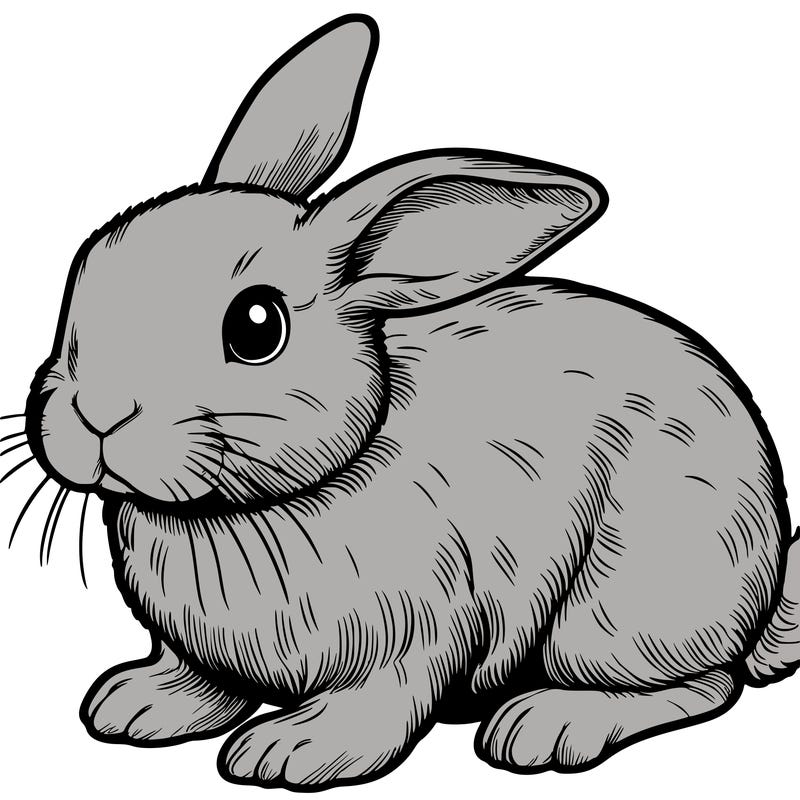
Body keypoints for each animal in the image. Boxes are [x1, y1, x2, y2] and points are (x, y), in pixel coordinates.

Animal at [13, 12, 799, 792]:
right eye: (86, 269)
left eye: (256, 326)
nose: (96, 414)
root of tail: (764, 587)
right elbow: (201, 680)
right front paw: (136, 705)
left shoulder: (418, 630)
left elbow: (381, 701)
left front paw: (292, 750)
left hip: (619, 611)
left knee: (705, 684)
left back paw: (546, 725)